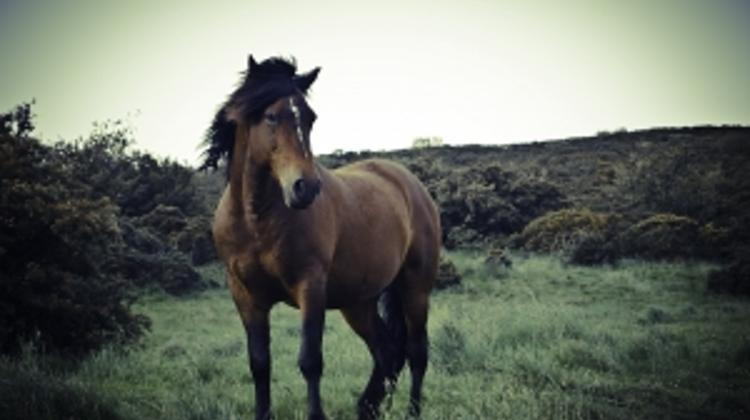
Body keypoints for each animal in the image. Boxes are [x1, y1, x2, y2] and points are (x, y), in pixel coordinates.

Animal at [201, 55, 441, 420]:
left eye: (310, 118)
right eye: (271, 116)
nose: (307, 188)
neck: (256, 221)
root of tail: (410, 183)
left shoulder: (310, 288)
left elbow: (310, 361)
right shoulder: (246, 295)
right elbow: (259, 363)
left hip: (415, 287)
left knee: (416, 352)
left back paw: (411, 411)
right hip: (359, 302)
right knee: (386, 350)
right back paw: (370, 407)